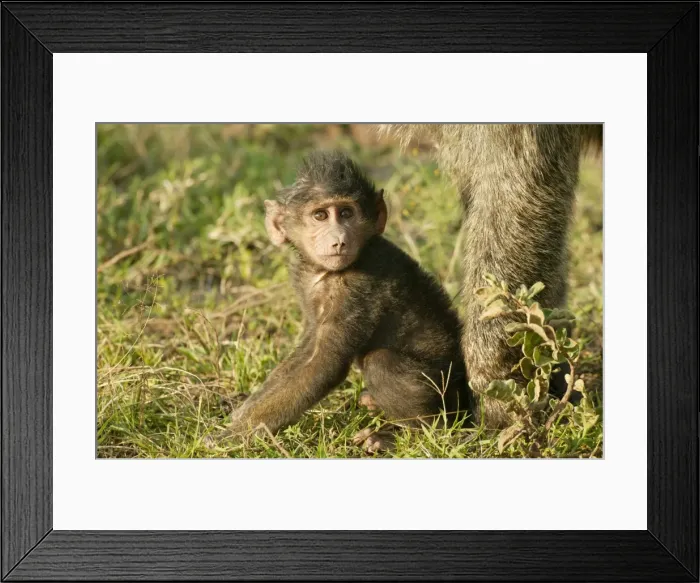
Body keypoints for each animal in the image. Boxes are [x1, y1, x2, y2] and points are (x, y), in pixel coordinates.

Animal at [224, 150, 471, 450]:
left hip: (448, 393)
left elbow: (323, 365)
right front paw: (240, 413)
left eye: (346, 213)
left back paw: (406, 435)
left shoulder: (356, 289)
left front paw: (232, 435)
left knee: (380, 363)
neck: (327, 273)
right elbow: (308, 349)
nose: (339, 241)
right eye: (320, 215)